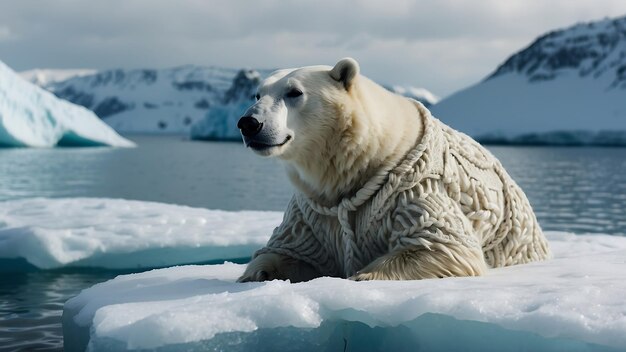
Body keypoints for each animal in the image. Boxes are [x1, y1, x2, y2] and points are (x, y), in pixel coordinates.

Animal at [236, 58, 548, 284]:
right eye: (258, 93)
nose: (249, 123)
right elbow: (290, 249)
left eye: (295, 92)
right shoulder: (313, 211)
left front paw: (363, 275)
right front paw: (254, 274)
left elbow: (443, 244)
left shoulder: (414, 189)